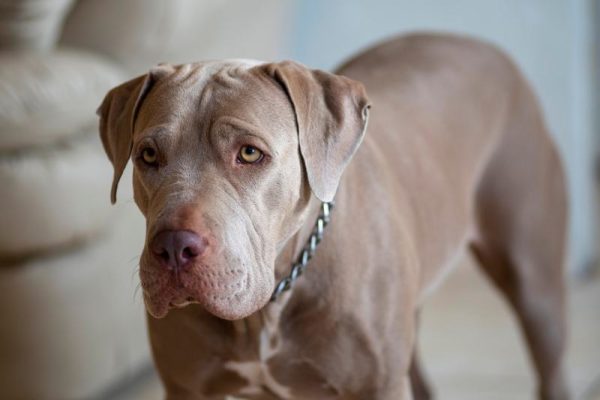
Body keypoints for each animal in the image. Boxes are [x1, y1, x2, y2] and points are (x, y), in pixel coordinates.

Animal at [97, 32, 568, 398]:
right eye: (148, 155)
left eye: (249, 153)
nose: (174, 246)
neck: (270, 305)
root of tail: (481, 44)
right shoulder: (186, 387)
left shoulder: (378, 387)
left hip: (534, 282)